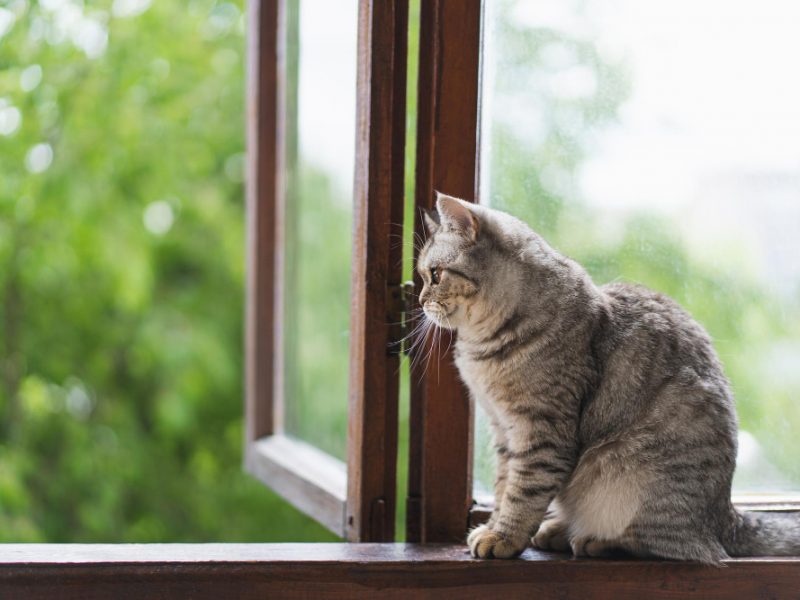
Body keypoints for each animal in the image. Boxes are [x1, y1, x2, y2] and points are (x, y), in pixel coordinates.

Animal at [418, 191, 800, 564]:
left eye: (434, 274)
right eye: (423, 275)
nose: (419, 299)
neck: (481, 348)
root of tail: (727, 517)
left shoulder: (541, 430)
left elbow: (523, 490)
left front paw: (503, 537)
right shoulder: (503, 430)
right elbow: (503, 487)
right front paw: (495, 527)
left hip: (630, 475)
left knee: (669, 545)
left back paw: (593, 540)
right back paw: (558, 530)